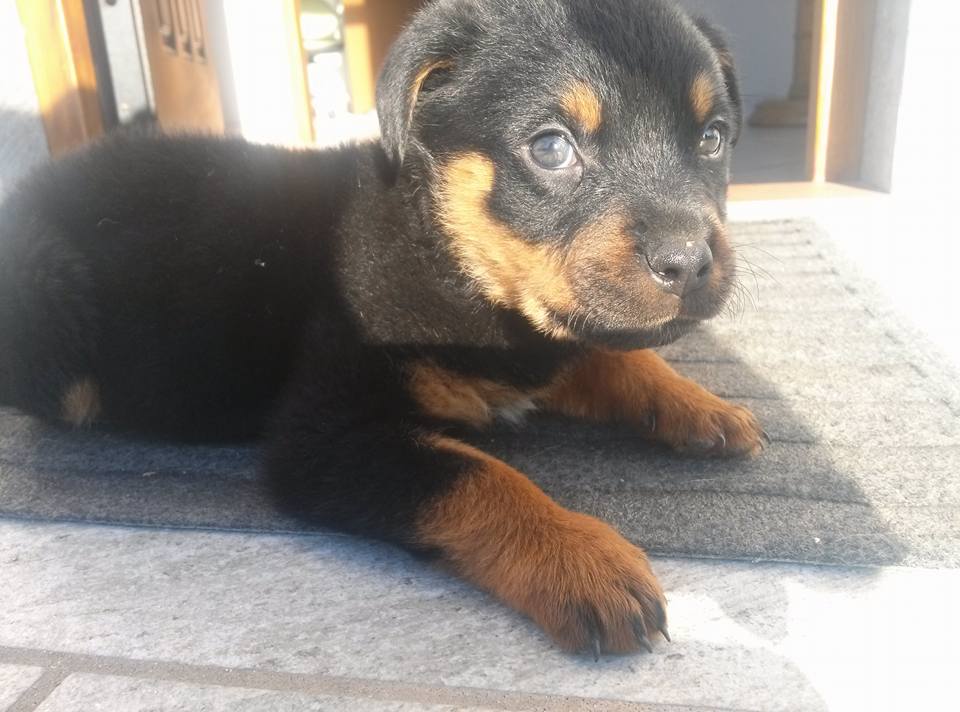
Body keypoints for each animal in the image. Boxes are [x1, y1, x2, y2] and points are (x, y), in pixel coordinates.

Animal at [1, 0, 764, 656]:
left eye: (711, 140)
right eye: (551, 148)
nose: (689, 263)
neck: (453, 256)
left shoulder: (547, 338)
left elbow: (608, 356)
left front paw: (700, 405)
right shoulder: (326, 437)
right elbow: (478, 475)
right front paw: (581, 557)